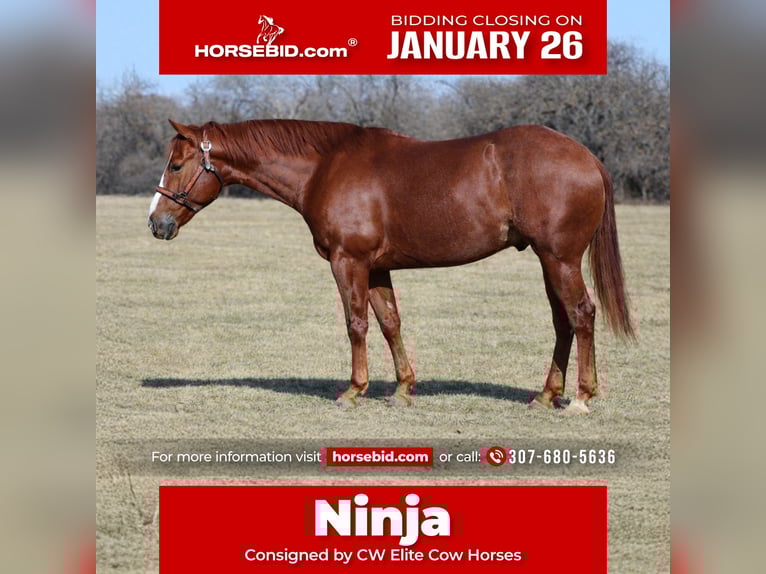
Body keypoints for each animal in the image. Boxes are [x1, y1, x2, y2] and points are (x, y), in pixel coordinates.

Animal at [148, 118, 633, 414]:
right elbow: (390, 323)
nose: (156, 223)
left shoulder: (348, 261)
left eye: (177, 164)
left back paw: (581, 398)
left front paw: (353, 390)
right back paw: (547, 395)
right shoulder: (378, 269)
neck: (325, 167)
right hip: (548, 260)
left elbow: (356, 324)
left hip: (559, 259)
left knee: (581, 315)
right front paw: (402, 389)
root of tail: (588, 158)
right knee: (563, 322)